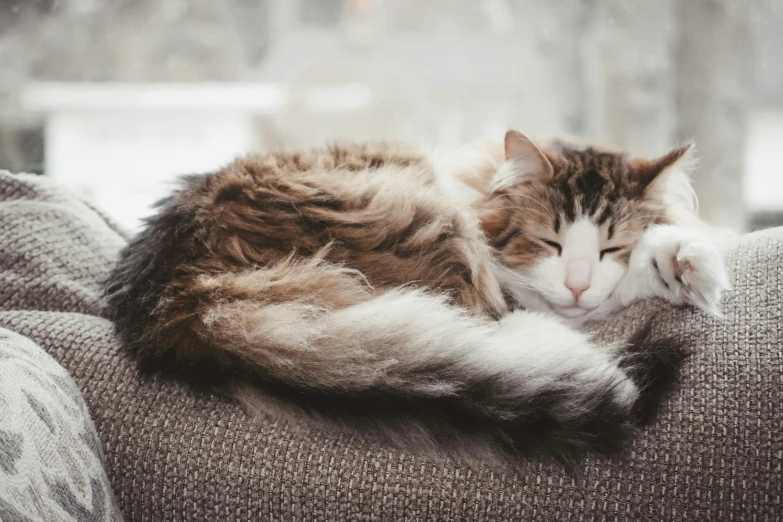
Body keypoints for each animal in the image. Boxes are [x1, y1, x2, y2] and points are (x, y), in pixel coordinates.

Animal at [102, 130, 728, 464]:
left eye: (609, 247)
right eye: (547, 241)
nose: (577, 284)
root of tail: (176, 299)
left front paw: (683, 264)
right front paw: (678, 264)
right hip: (430, 224)